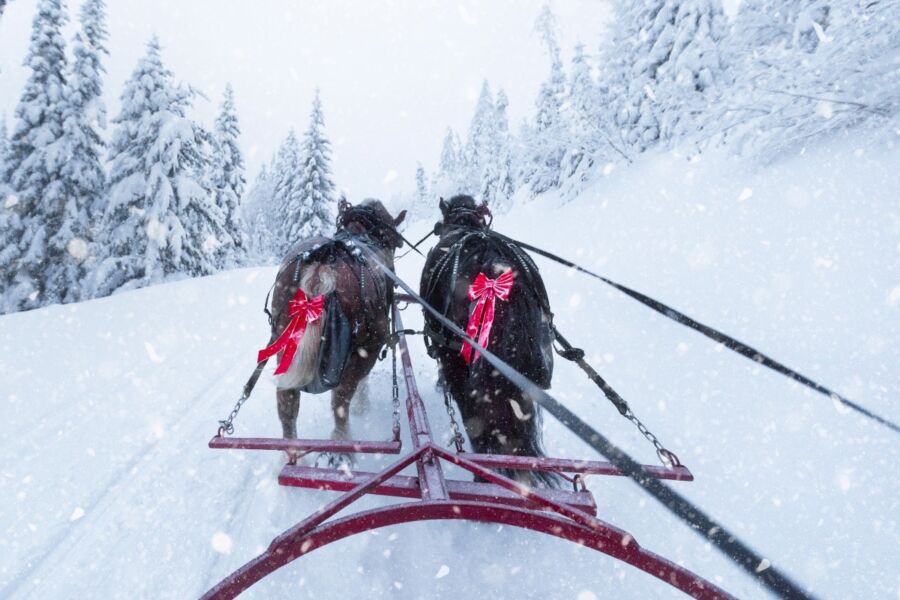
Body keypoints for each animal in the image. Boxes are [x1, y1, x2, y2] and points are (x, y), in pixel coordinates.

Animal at [268, 199, 408, 466]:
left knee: (286, 404)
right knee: (341, 401)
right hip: (364, 349)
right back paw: (342, 448)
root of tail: (322, 264)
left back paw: (292, 456)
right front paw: (362, 407)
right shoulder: (365, 349)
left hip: (284, 345)